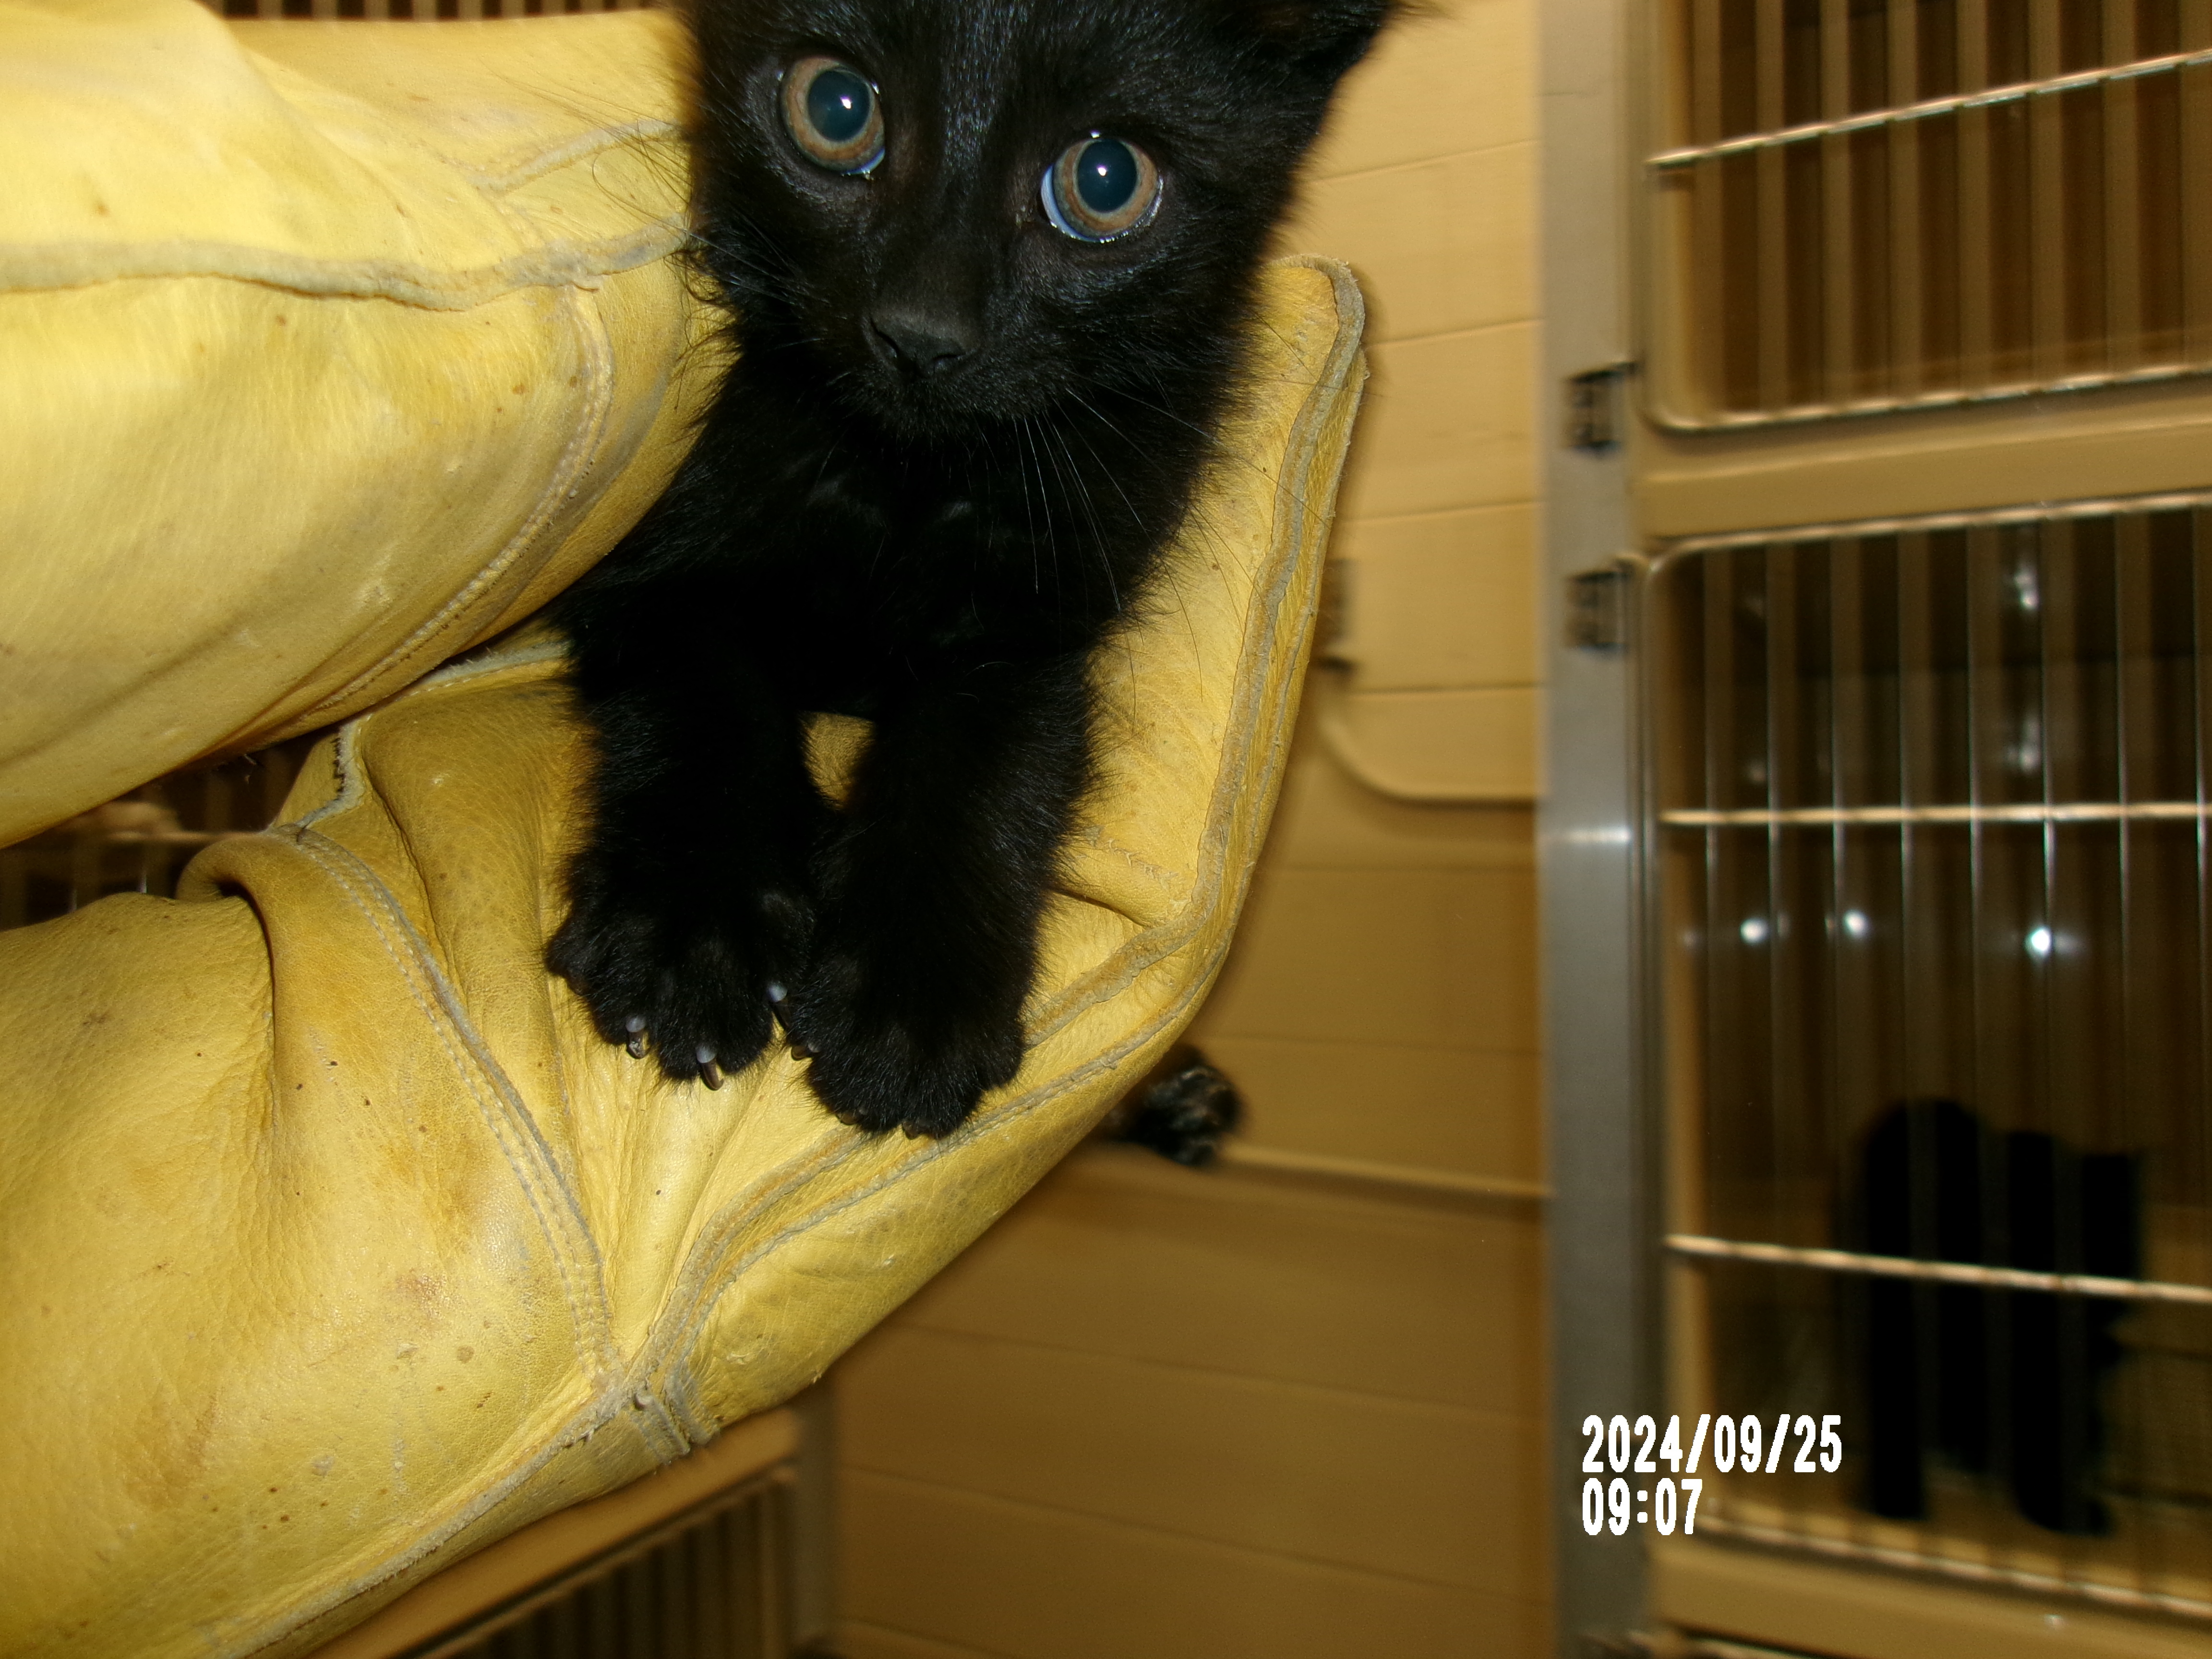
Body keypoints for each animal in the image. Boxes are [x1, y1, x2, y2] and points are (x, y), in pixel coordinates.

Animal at [548, 0, 1380, 1141]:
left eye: (1107, 180)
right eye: (834, 109)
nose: (920, 333)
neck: (903, 474)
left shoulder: (1031, 623)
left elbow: (987, 763)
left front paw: (911, 1000)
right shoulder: (652, 569)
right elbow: (701, 691)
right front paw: (691, 928)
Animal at [1849, 1097, 2141, 1539]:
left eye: (2079, 1243)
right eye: (2003, 1238)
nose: (2040, 1278)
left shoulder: (2055, 1369)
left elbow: (2048, 1432)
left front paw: (2061, 1506)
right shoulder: (1902, 1334)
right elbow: (1898, 1417)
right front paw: (1894, 1499)